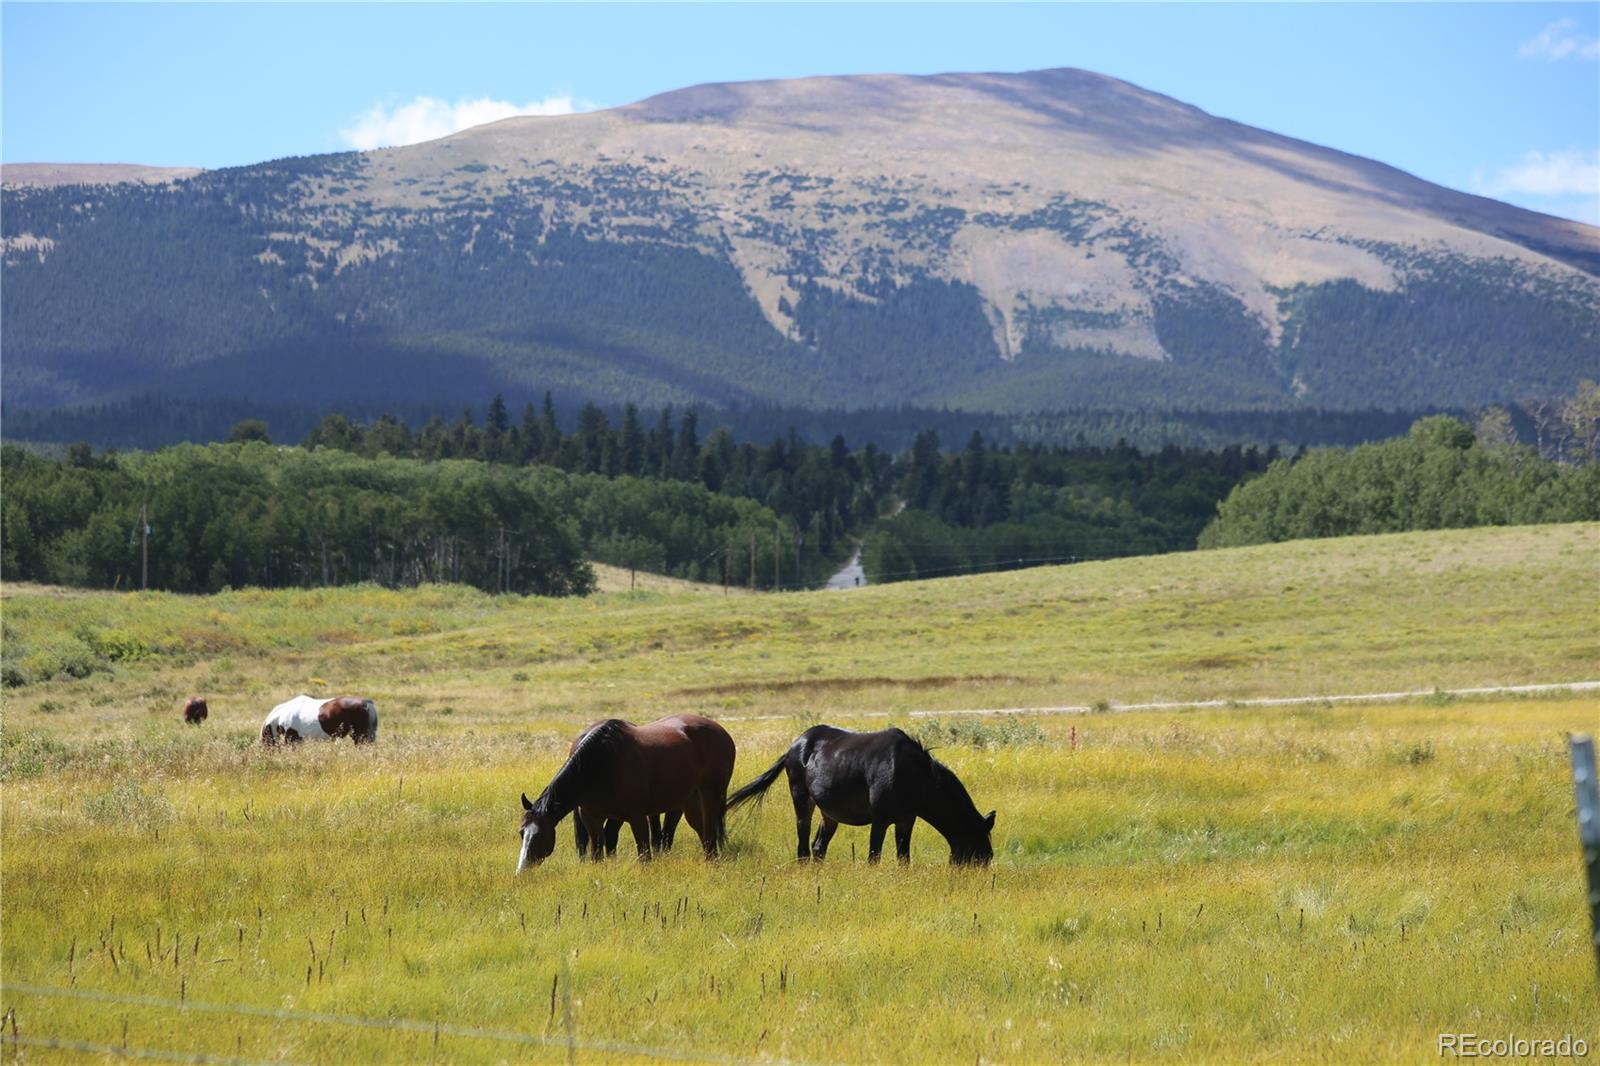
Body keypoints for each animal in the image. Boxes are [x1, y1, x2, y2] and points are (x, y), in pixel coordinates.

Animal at [515, 710, 732, 870]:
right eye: (521, 833)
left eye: (541, 835)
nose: (522, 870)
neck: (602, 763)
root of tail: (722, 732)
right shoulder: (591, 818)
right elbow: (597, 853)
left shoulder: (637, 817)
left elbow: (644, 854)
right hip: (689, 801)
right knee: (702, 830)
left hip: (711, 794)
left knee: (709, 829)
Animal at [729, 723, 998, 864]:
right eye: (978, 855)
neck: (912, 776)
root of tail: (793, 746)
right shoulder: (879, 820)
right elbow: (874, 856)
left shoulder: (906, 820)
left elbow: (903, 857)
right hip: (801, 798)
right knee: (803, 843)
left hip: (829, 813)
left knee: (819, 846)